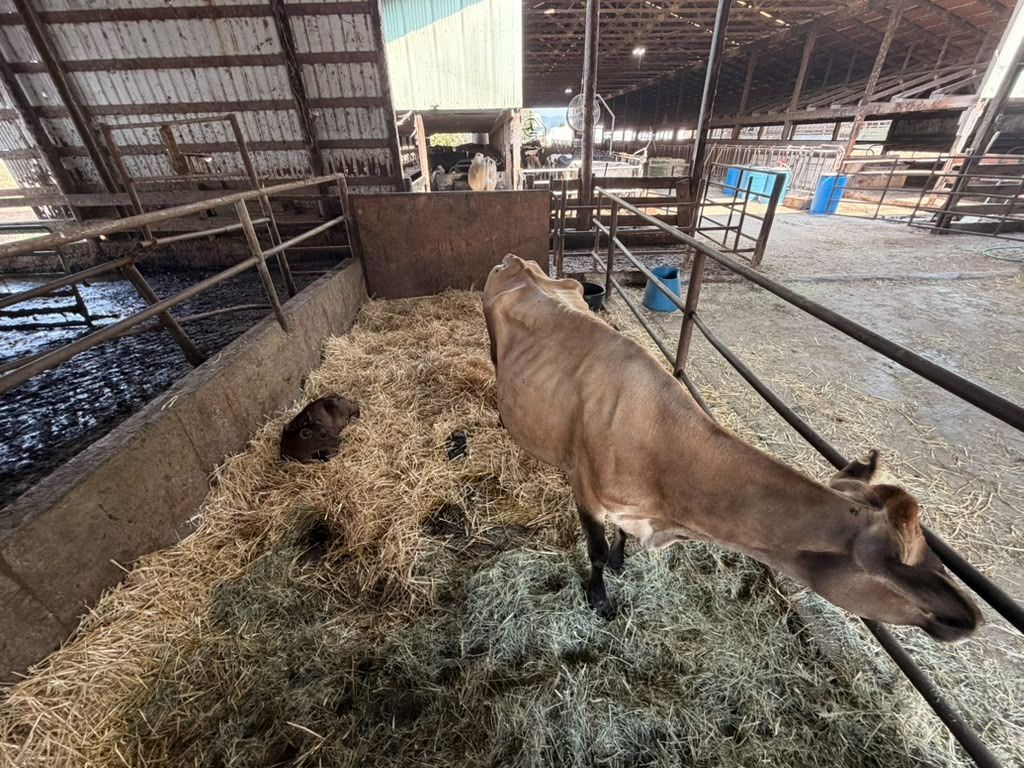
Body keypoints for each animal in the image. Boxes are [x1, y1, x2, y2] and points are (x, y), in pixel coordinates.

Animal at [483, 254, 981, 642]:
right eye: (895, 566)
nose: (970, 615)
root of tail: (518, 262)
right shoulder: (585, 492)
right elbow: (597, 552)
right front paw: (599, 599)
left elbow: (619, 542)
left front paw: (624, 563)